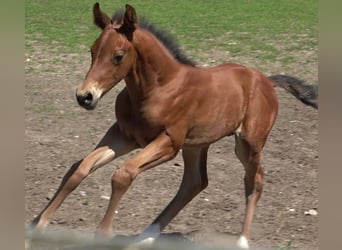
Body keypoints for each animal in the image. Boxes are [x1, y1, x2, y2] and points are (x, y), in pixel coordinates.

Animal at [29, 3, 318, 248]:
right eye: (92, 51)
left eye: (118, 56)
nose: (85, 96)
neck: (157, 89)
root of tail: (267, 81)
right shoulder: (124, 135)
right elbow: (79, 168)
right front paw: (38, 226)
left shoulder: (169, 143)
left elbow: (123, 174)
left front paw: (103, 235)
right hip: (196, 145)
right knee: (194, 182)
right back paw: (146, 236)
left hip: (247, 143)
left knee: (254, 180)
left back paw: (242, 241)